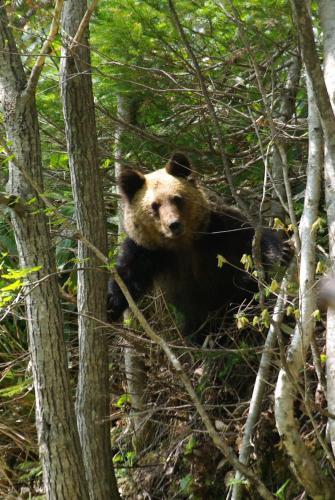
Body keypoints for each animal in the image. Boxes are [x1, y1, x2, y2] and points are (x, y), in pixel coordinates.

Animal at [108, 152, 288, 340]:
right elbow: (127, 276)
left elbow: (253, 240)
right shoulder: (147, 249)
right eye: (154, 206)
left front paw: (283, 253)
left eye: (176, 198)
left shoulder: (219, 228)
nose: (174, 224)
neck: (182, 242)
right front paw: (111, 306)